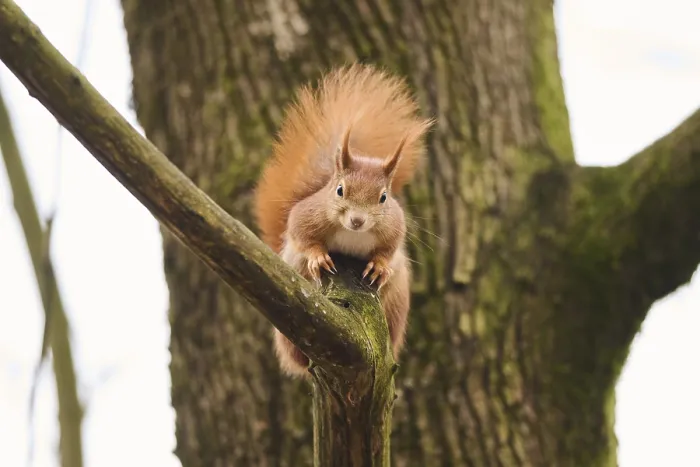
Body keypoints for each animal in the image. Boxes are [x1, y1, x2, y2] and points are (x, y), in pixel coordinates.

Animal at [254, 63, 433, 377]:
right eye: (340, 190)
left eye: (383, 197)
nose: (358, 220)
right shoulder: (306, 214)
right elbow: (302, 234)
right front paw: (318, 258)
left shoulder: (394, 227)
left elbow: (388, 250)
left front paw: (379, 267)